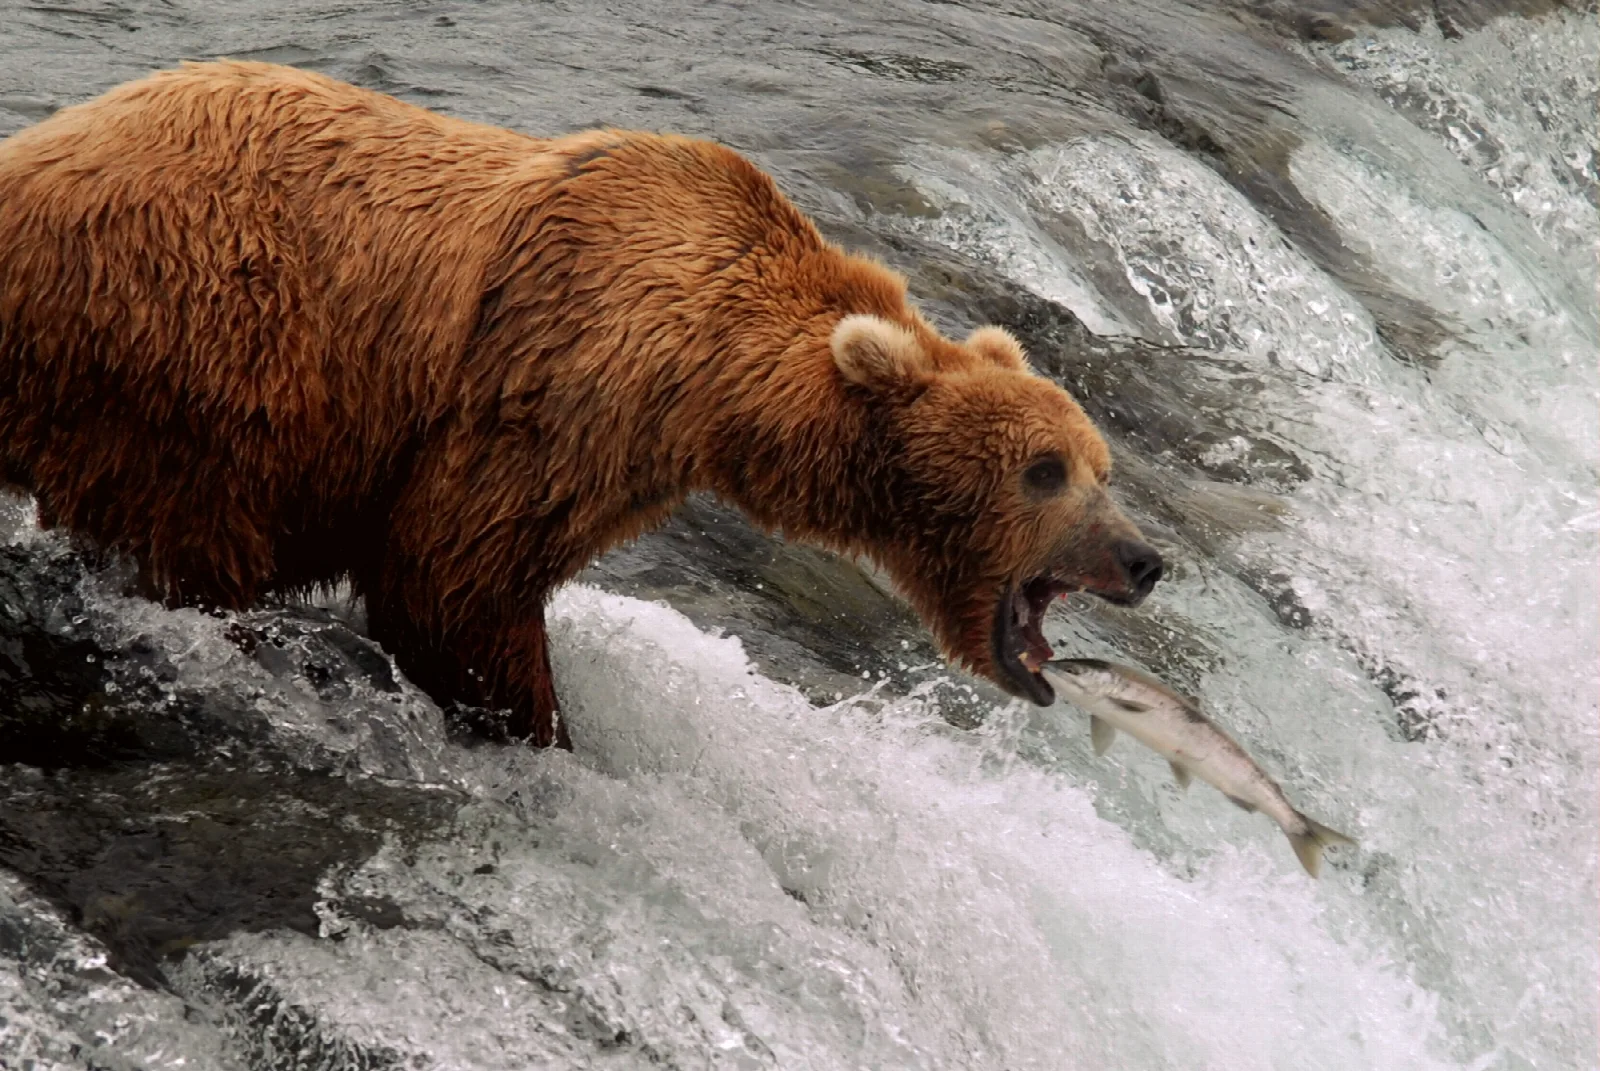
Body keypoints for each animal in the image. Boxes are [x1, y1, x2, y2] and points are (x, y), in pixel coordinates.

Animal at [0, 61, 1162, 749]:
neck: (715, 378)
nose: (1144, 559)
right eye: (1045, 470)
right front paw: (539, 725)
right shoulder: (553, 379)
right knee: (199, 528)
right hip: (204, 328)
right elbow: (451, 573)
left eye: (1102, 465)